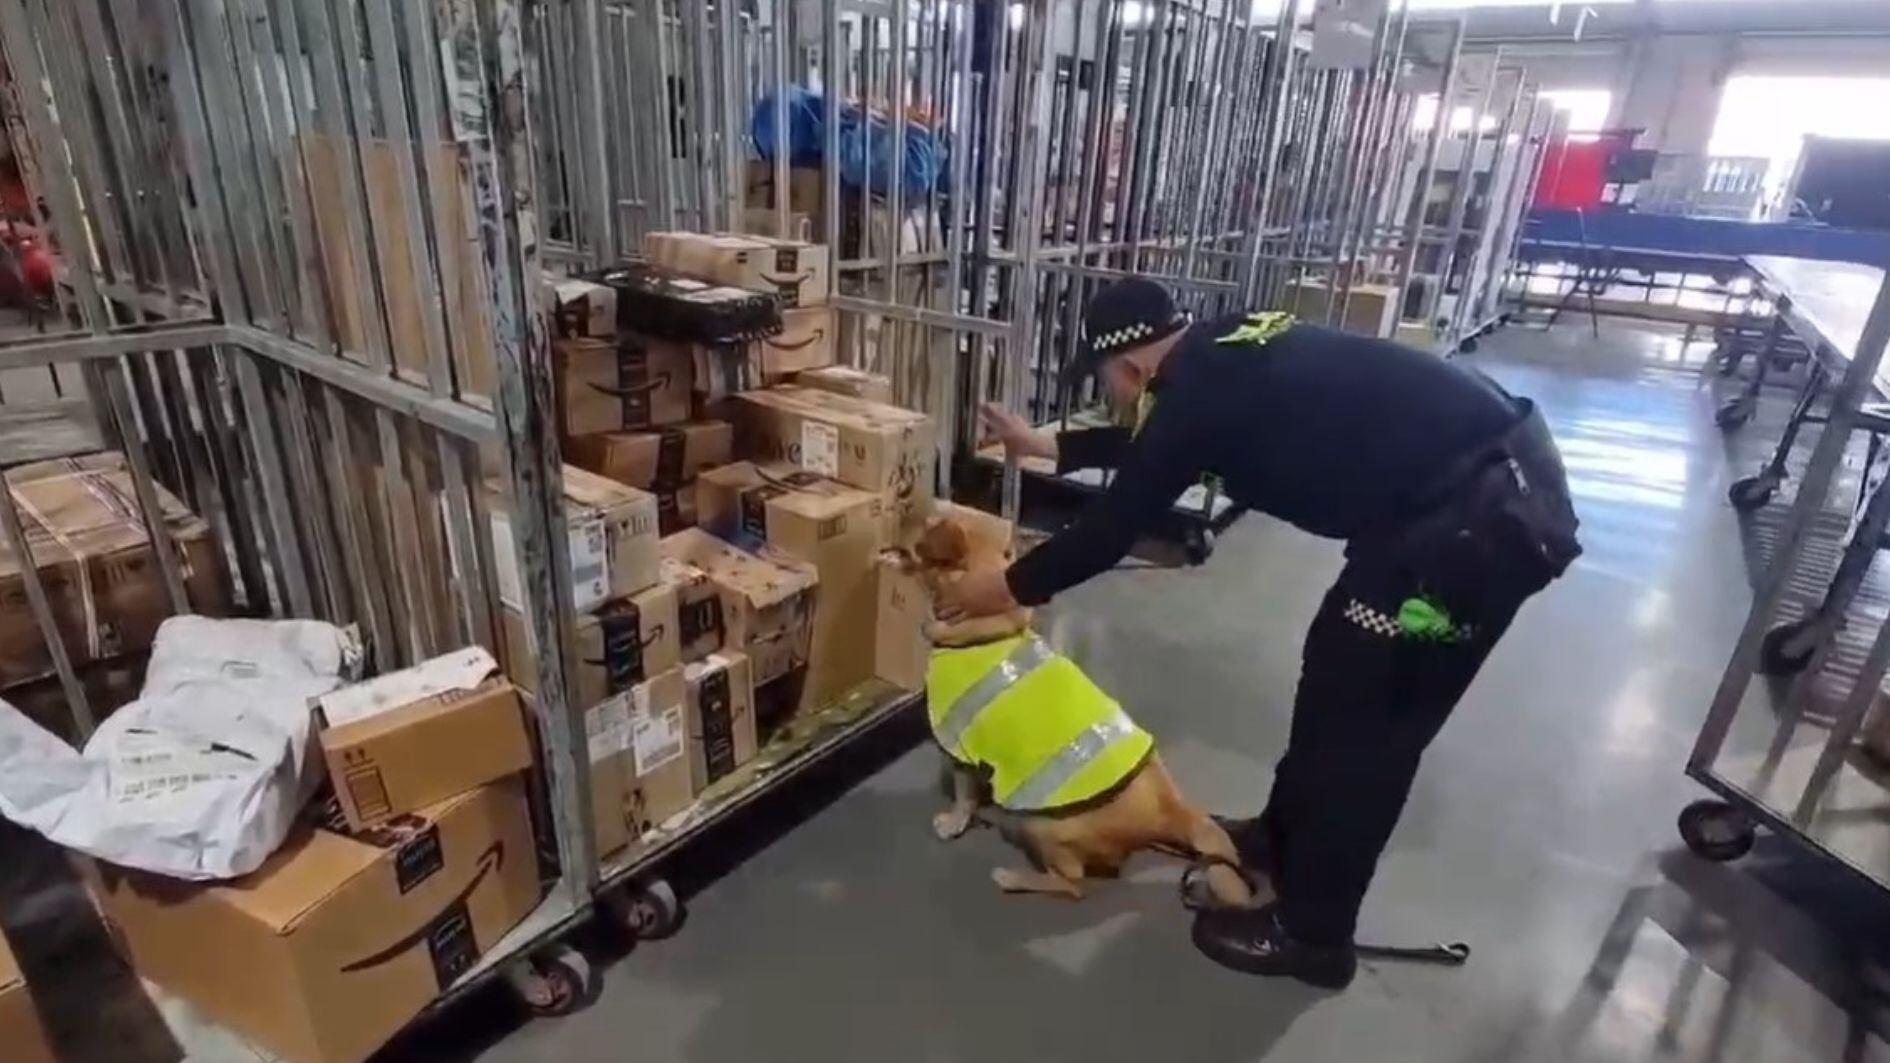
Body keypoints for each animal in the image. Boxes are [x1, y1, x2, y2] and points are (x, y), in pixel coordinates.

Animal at [899, 514, 1254, 900]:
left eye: (929, 523)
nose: (905, 516)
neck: (988, 631)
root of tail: (1168, 808)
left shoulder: (960, 745)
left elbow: (963, 796)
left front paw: (954, 823)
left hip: (1043, 826)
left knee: (1073, 883)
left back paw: (1014, 877)